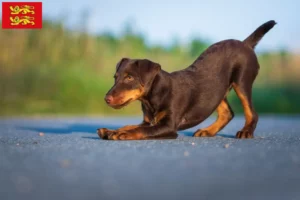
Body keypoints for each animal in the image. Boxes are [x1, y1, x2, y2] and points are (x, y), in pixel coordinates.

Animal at [98, 19, 276, 139]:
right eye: (115, 77)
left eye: (129, 77)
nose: (106, 99)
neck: (153, 96)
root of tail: (245, 44)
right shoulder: (149, 121)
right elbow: (129, 125)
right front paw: (111, 131)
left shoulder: (168, 126)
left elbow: (139, 129)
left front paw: (121, 134)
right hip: (216, 91)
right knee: (227, 113)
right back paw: (207, 131)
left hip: (242, 82)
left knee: (251, 112)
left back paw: (245, 132)